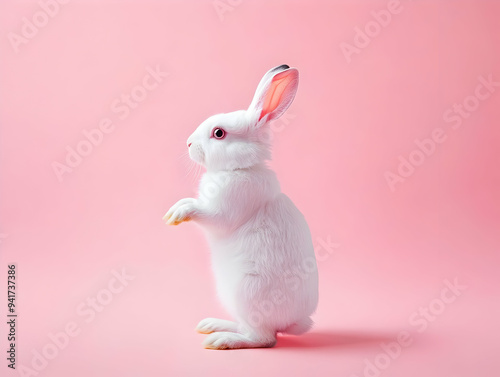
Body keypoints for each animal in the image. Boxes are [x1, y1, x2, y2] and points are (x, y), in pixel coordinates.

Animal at [165, 64, 320, 350]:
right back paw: (212, 325)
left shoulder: (224, 210)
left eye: (219, 133)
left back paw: (221, 340)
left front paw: (179, 214)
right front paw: (173, 210)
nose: (189, 143)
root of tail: (294, 323)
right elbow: (190, 201)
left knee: (263, 338)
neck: (239, 169)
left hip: (246, 294)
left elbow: (204, 212)